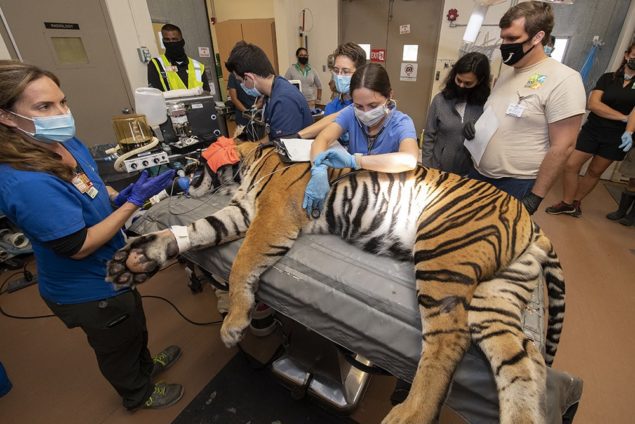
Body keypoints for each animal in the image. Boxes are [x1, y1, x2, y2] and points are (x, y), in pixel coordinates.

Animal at [105, 141, 568, 422]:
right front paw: (140, 256)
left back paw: (409, 415)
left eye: (194, 156)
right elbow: (200, 229)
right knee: (523, 362)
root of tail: (531, 222)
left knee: (449, 339)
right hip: (497, 297)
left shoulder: (269, 220)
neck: (249, 167)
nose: (176, 173)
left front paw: (234, 323)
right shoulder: (241, 213)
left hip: (444, 253)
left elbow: (240, 265)